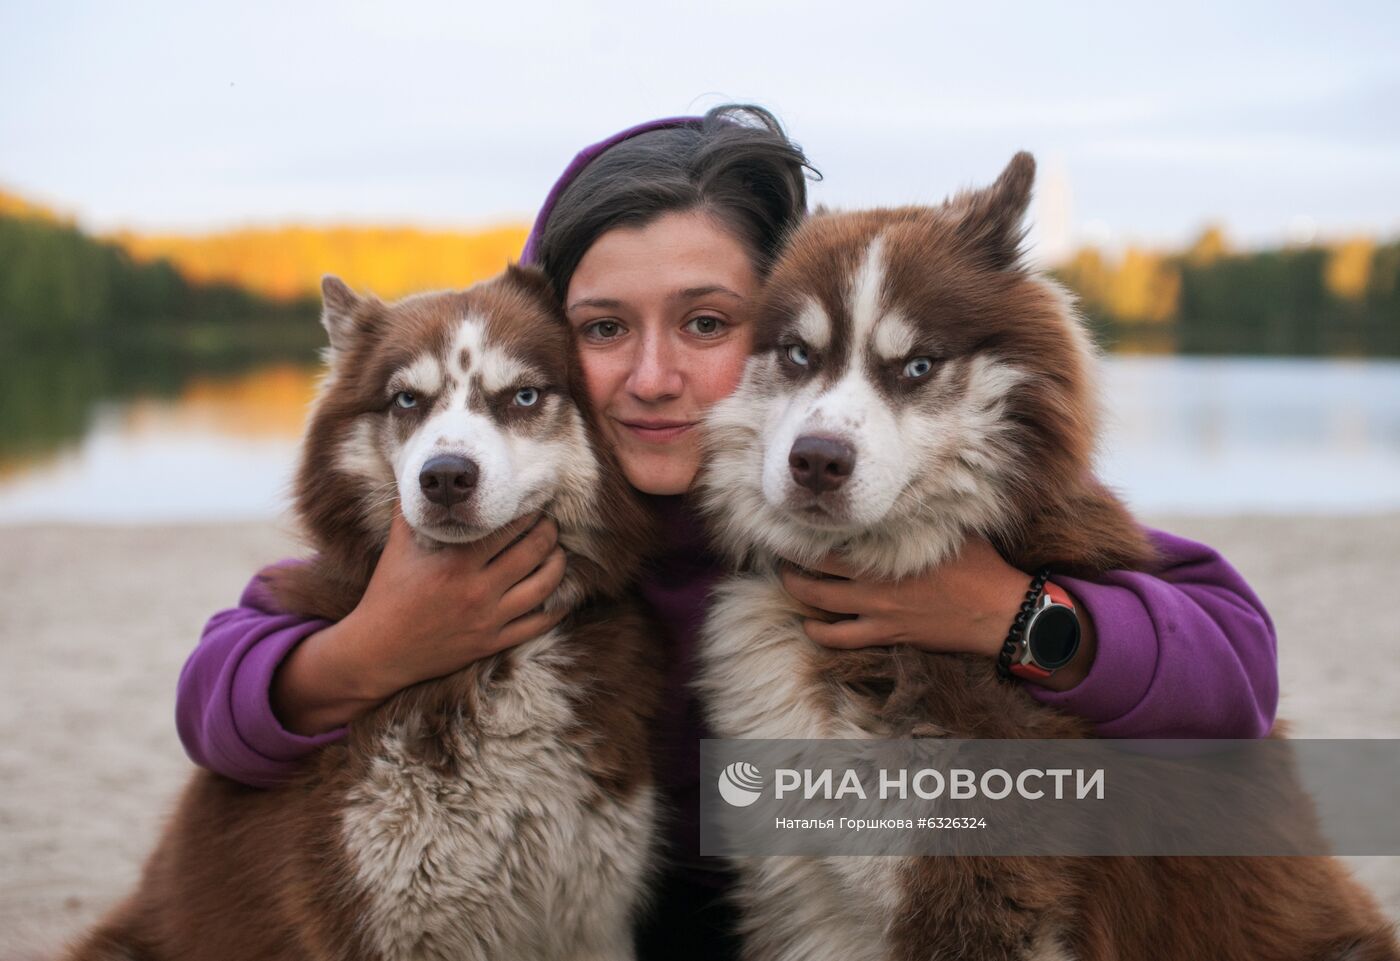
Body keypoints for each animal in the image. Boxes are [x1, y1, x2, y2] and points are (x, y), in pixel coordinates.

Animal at [68, 264, 669, 961]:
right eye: (406, 400)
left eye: (523, 396)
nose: (445, 477)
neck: (494, 671)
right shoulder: (371, 914)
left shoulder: (591, 916)